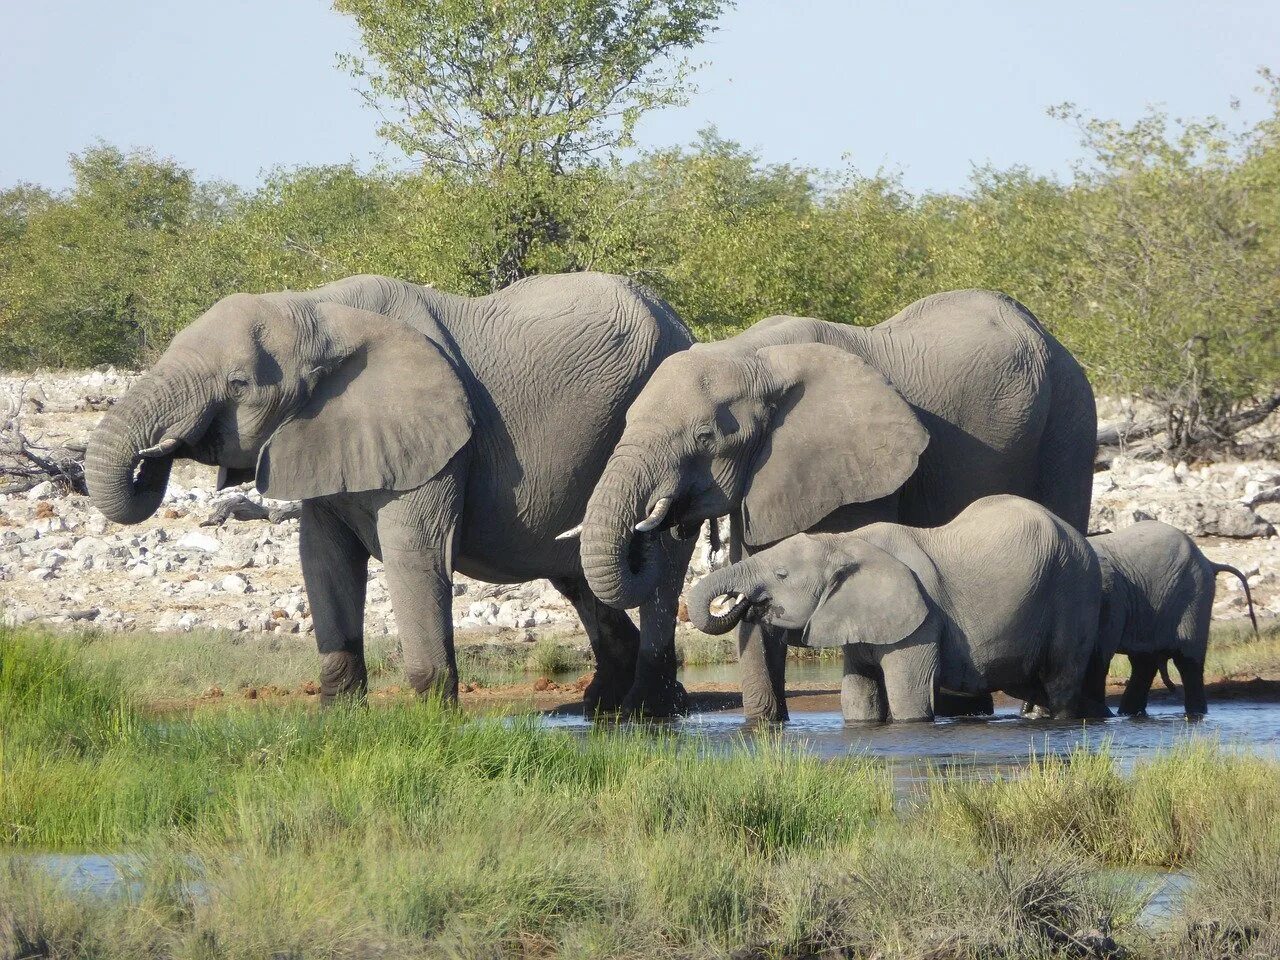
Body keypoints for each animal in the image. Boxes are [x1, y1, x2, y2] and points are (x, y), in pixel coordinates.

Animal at [691, 496, 1111, 721]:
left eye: (781, 575)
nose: (745, 602)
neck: (845, 542)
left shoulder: (920, 621)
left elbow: (909, 697)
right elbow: (858, 696)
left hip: (1075, 590)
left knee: (1060, 681)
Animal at [1090, 522, 1259, 716]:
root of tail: (1208, 561)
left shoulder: (1110, 598)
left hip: (1193, 594)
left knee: (1187, 662)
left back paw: (1195, 713)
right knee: (1143, 662)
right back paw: (1128, 714)